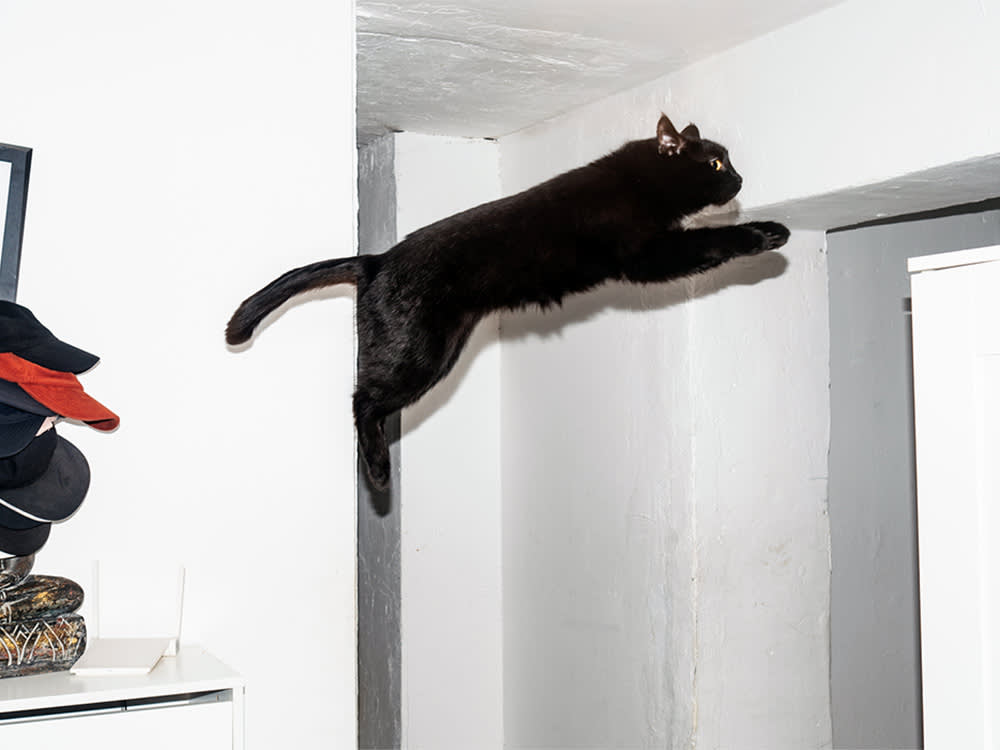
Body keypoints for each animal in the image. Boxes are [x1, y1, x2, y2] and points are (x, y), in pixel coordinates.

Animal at [227, 114, 788, 490]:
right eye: (714, 161)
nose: (739, 179)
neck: (636, 182)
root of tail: (376, 259)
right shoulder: (647, 256)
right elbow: (711, 241)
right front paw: (764, 231)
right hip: (418, 355)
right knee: (362, 401)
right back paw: (380, 472)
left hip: (443, 351)